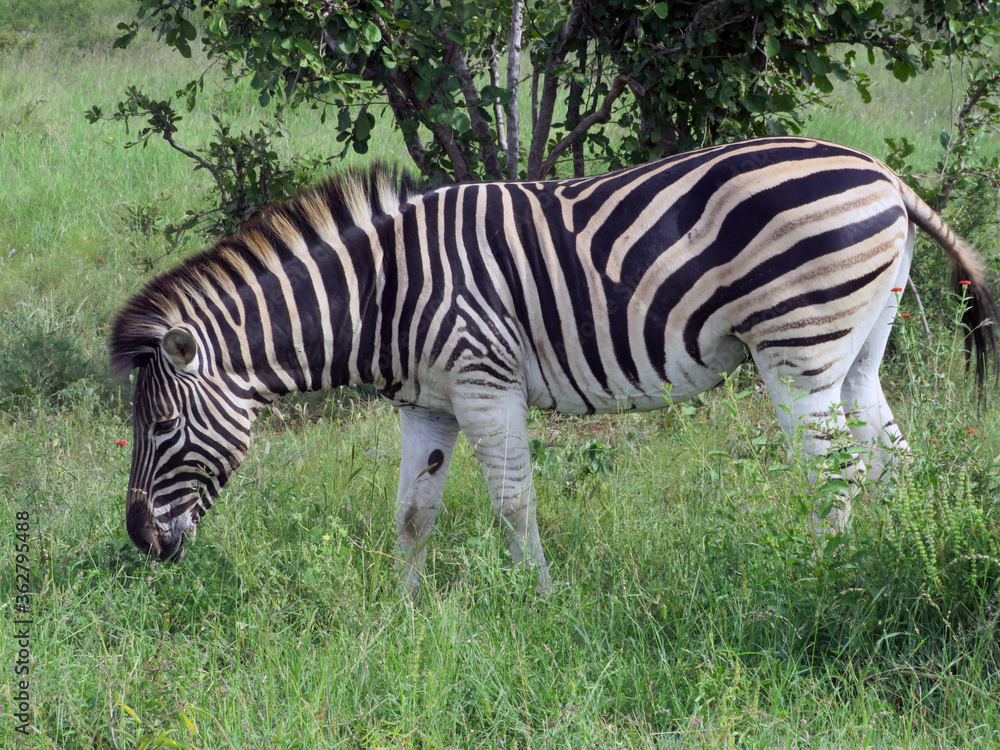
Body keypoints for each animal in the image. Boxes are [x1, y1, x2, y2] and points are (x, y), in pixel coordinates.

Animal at [111, 136, 997, 593]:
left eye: (161, 427)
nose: (141, 544)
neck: (381, 292)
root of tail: (885, 174)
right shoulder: (426, 402)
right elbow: (412, 513)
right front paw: (407, 614)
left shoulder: (482, 378)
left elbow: (514, 503)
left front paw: (535, 602)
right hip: (858, 348)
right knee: (889, 459)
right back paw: (886, 559)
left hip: (797, 348)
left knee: (833, 472)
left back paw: (819, 579)